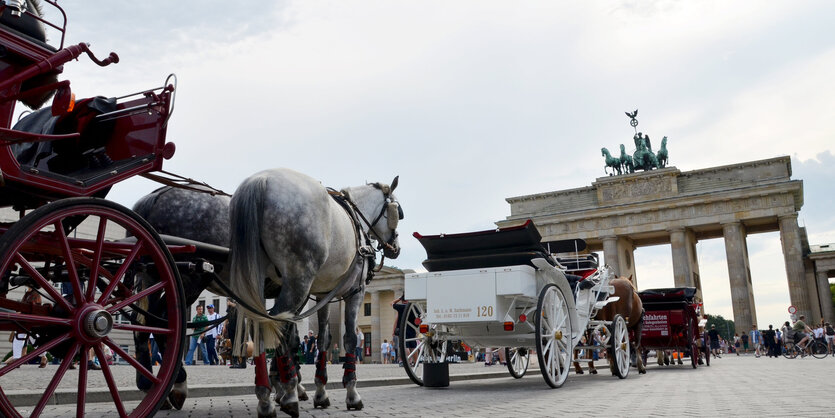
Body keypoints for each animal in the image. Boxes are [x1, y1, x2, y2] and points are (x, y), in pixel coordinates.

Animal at [230, 168, 404, 416]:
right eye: (398, 212)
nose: (395, 248)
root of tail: (261, 180)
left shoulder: (323, 294)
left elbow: (324, 339)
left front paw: (320, 391)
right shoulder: (355, 291)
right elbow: (349, 338)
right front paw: (352, 393)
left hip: (257, 281)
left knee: (262, 327)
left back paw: (266, 397)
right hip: (298, 282)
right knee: (277, 328)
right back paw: (288, 393)